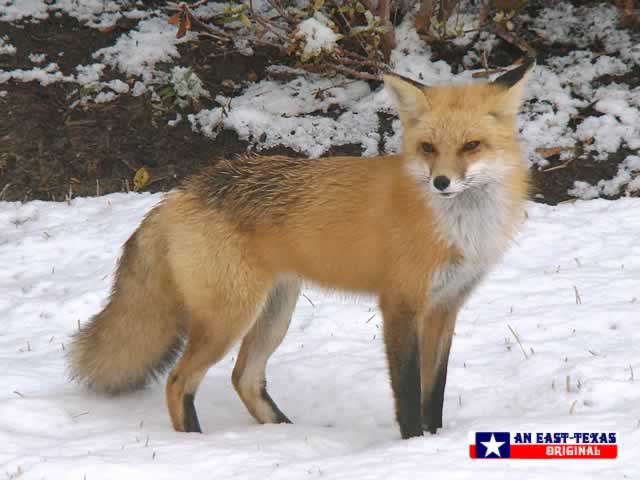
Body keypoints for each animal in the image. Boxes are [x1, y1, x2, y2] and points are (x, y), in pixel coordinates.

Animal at [67, 59, 532, 438]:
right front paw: (414, 444)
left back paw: (285, 433)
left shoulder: (445, 308)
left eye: (471, 146)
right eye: (428, 148)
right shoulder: (400, 305)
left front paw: (435, 440)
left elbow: (434, 391)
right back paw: (197, 443)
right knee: (179, 380)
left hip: (275, 312)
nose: (441, 182)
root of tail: (179, 193)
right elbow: (406, 392)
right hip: (229, 317)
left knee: (244, 378)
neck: (458, 227)